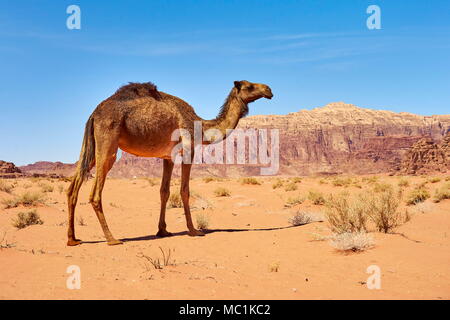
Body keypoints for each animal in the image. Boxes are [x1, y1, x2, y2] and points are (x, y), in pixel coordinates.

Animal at [66, 80, 270, 245]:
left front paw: (162, 230)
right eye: (249, 86)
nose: (269, 89)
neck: (201, 126)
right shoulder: (188, 150)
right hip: (108, 143)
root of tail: (94, 114)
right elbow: (185, 190)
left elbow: (164, 191)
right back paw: (112, 239)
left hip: (92, 148)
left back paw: (73, 239)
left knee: (72, 187)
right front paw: (193, 230)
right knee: (95, 194)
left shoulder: (168, 157)